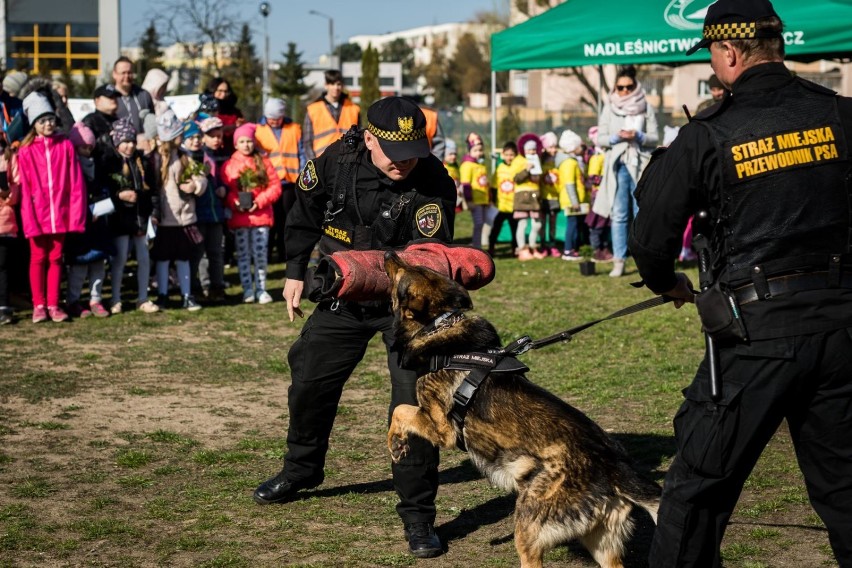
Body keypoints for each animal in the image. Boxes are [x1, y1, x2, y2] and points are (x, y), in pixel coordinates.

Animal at [384, 254, 660, 568]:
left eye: (403, 272)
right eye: (416, 265)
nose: (389, 254)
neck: (440, 324)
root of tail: (615, 467)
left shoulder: (442, 429)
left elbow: (401, 410)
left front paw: (396, 444)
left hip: (528, 525)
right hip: (601, 544)